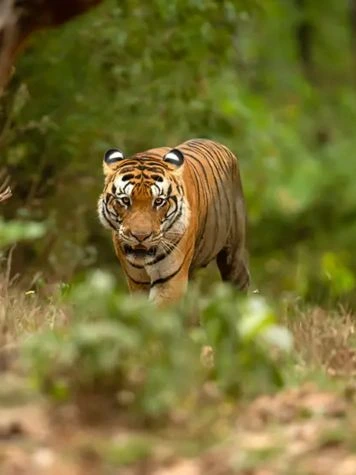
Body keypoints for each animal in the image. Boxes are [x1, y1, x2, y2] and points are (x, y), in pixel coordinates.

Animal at [98, 139, 250, 306]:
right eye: (125, 200)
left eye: (158, 201)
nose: (140, 236)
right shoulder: (137, 282)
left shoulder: (170, 281)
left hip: (233, 254)